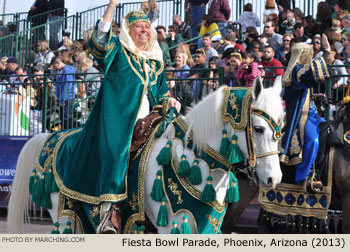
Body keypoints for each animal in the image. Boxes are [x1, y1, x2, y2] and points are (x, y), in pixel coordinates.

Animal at [6, 77, 284, 234]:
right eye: (259, 128)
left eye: (281, 127)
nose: (274, 179)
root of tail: (52, 137)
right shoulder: (174, 227)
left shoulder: (208, 227)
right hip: (63, 217)